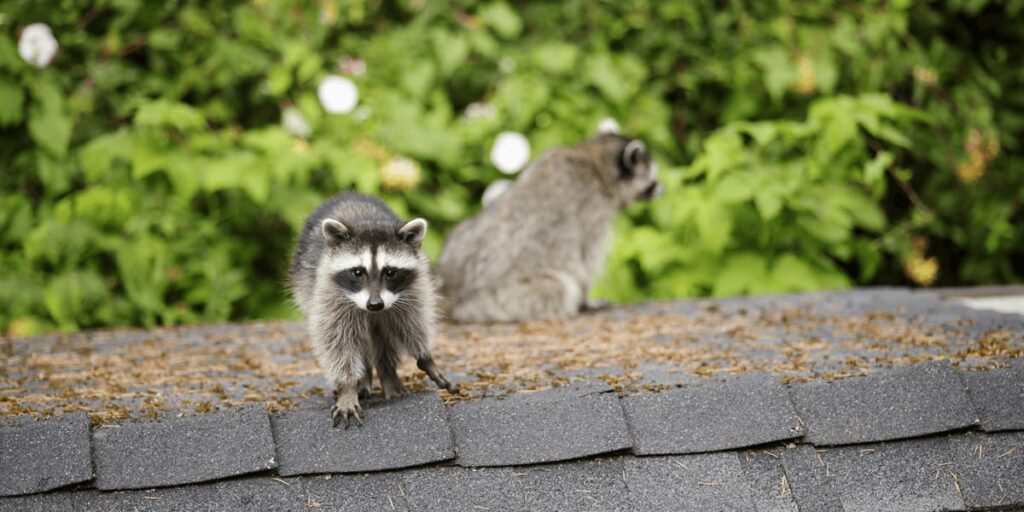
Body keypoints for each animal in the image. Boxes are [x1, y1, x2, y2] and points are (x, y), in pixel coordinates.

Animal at [289, 193, 457, 427]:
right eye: (358, 272)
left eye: (391, 272)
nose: (375, 305)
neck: (368, 222)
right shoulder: (328, 294)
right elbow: (337, 341)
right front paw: (348, 387)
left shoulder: (413, 290)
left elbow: (412, 323)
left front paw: (425, 357)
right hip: (306, 284)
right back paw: (363, 380)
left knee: (383, 337)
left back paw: (387, 374)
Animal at [437, 133, 662, 323]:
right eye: (652, 179)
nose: (662, 189)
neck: (592, 159)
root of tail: (453, 296)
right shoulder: (593, 210)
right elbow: (585, 259)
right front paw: (585, 299)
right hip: (499, 299)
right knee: (559, 287)